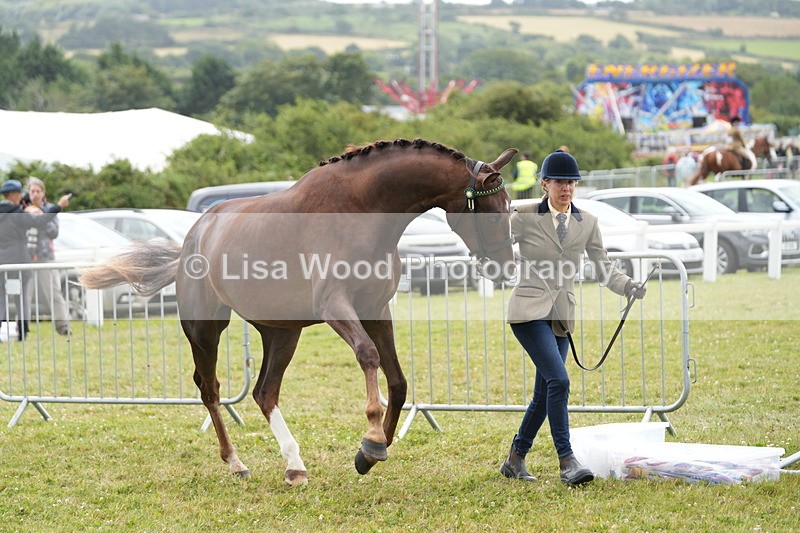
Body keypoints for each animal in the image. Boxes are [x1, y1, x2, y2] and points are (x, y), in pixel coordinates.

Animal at [79, 138, 517, 485]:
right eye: (494, 210)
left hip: (281, 331)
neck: (361, 210)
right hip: (206, 328)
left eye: (511, 207)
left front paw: (369, 454)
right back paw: (236, 462)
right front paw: (373, 439)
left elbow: (397, 380)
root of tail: (192, 236)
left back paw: (294, 466)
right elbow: (368, 356)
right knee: (211, 389)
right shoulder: (336, 305)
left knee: (264, 391)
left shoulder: (376, 309)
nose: (506, 268)